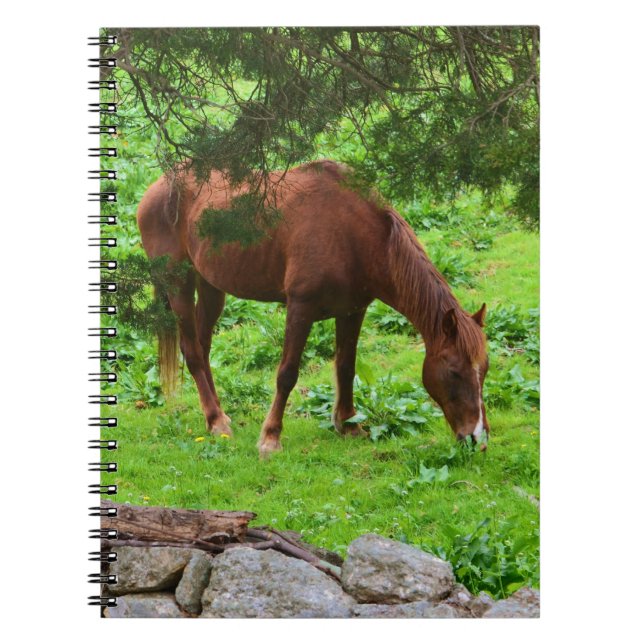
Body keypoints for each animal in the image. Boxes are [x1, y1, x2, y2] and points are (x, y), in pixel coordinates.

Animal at [137, 160, 490, 457]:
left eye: (484, 370)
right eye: (455, 372)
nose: (477, 438)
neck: (355, 234)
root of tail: (158, 187)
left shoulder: (352, 311)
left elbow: (346, 367)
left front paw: (348, 424)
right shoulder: (300, 308)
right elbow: (287, 374)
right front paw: (270, 438)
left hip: (211, 287)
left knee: (202, 346)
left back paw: (216, 415)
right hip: (178, 283)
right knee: (193, 351)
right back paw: (216, 421)